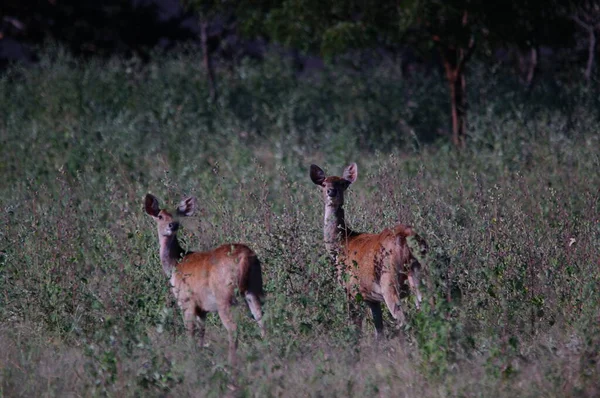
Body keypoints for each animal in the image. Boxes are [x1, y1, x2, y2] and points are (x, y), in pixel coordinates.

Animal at [143, 193, 264, 364]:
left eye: (176, 215)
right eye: (160, 216)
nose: (172, 225)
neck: (176, 263)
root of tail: (245, 257)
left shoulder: (187, 301)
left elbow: (190, 333)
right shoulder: (202, 309)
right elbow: (201, 334)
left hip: (224, 297)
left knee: (233, 328)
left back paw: (231, 363)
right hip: (254, 289)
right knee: (261, 318)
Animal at [310, 163, 426, 338]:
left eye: (342, 183)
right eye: (323, 183)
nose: (331, 191)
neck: (342, 243)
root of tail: (406, 239)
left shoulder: (351, 289)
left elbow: (356, 327)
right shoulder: (372, 298)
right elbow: (379, 331)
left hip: (388, 280)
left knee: (404, 319)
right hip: (420, 273)